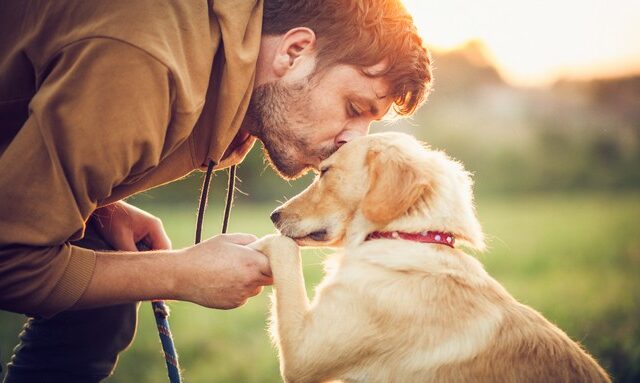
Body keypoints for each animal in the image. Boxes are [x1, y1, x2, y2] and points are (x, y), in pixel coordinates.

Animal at [250, 133, 608, 383]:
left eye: (325, 172)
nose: (273, 215)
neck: (408, 236)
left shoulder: (302, 354)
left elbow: (284, 251)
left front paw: (261, 242)